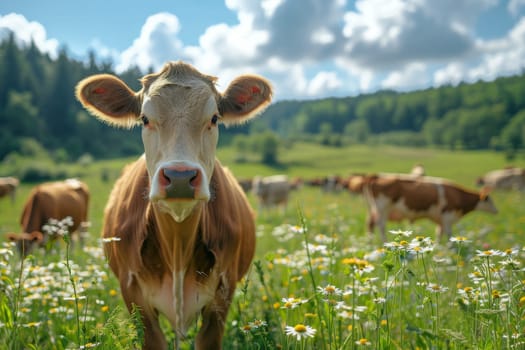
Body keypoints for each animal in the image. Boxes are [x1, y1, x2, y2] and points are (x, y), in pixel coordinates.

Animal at [75, 61, 272, 348]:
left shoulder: (222, 296)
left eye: (214, 118)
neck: (178, 245)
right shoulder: (133, 295)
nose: (180, 176)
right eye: (145, 119)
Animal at [346, 174, 498, 242]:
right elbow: (449, 234)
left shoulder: (440, 220)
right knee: (381, 225)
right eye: (489, 200)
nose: (497, 211)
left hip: (373, 209)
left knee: (370, 225)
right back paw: (384, 242)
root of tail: (374, 176)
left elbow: (439, 234)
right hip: (382, 209)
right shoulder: (447, 217)